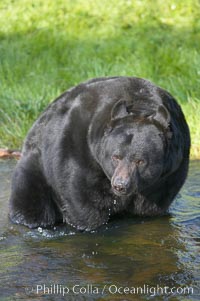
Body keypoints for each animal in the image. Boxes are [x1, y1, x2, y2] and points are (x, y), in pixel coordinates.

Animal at [9, 77, 191, 230]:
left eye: (140, 161)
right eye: (116, 157)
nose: (120, 185)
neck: (140, 105)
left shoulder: (172, 169)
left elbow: (153, 205)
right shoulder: (80, 149)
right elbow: (79, 193)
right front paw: (87, 223)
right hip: (36, 167)